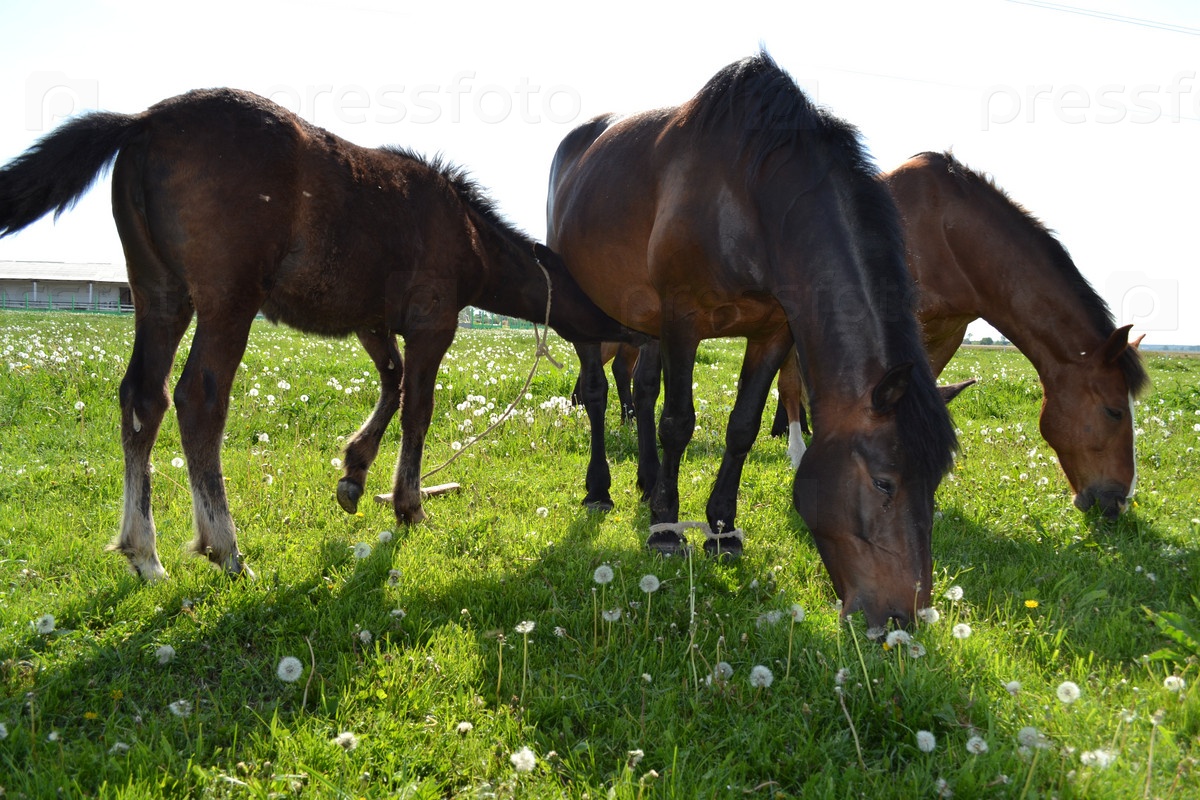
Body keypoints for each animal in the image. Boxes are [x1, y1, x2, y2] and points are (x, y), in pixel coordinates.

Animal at [0, 87, 638, 582]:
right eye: (588, 292)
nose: (628, 330)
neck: (463, 233)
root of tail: (145, 121)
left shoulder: (373, 323)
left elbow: (391, 385)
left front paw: (354, 475)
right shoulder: (433, 325)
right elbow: (418, 408)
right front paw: (408, 506)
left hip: (161, 298)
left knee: (143, 398)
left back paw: (145, 555)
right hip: (227, 303)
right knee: (199, 401)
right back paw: (226, 549)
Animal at [549, 53, 955, 633]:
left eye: (937, 482)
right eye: (884, 483)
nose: (903, 618)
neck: (750, 198)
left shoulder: (773, 329)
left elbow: (741, 427)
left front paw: (721, 530)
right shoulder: (683, 318)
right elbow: (679, 423)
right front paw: (668, 530)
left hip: (644, 322)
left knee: (643, 389)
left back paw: (648, 482)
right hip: (590, 314)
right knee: (600, 395)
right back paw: (600, 489)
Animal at [768, 152, 1152, 515]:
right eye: (1114, 411)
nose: (1119, 501)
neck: (947, 234)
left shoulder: (950, 332)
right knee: (789, 386)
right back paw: (798, 453)